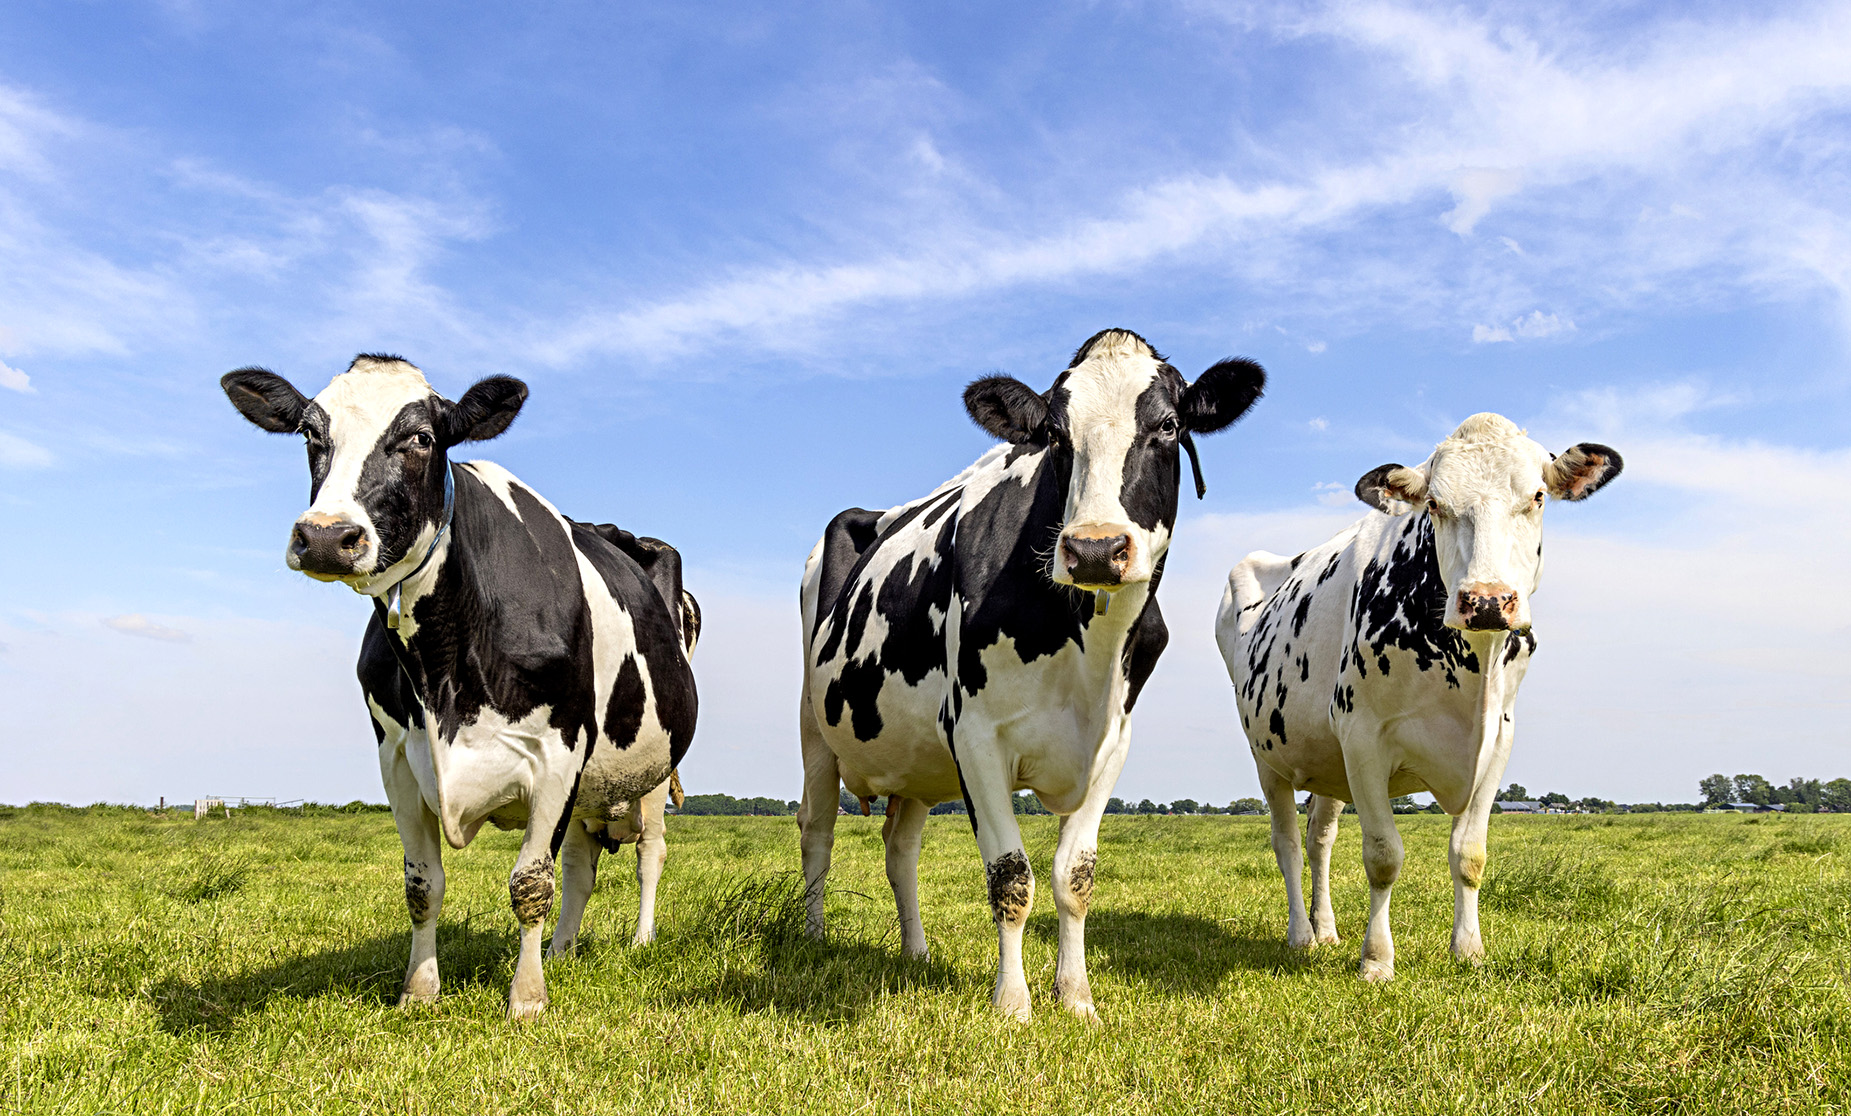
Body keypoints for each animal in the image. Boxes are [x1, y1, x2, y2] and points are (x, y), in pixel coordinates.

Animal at [221, 354, 699, 1018]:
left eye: (422, 438)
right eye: (310, 434)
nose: (324, 537)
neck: (444, 668)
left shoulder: (559, 752)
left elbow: (530, 884)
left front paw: (526, 1001)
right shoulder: (397, 758)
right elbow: (423, 884)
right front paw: (419, 991)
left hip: (651, 772)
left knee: (648, 855)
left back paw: (640, 940)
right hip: (591, 788)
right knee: (580, 866)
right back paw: (563, 951)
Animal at [798, 329, 1265, 1021]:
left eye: (1168, 425)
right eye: (1055, 435)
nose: (1095, 548)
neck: (1084, 646)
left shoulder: (1112, 741)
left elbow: (1075, 876)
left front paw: (1075, 998)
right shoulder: (974, 735)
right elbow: (1011, 875)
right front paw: (1013, 1005)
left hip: (915, 760)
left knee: (900, 848)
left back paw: (916, 952)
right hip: (814, 728)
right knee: (817, 831)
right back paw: (812, 939)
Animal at [1213, 413, 1621, 980]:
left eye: (1538, 496)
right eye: (1434, 504)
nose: (1487, 600)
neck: (1472, 674)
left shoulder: (1498, 740)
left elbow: (1470, 854)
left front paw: (1468, 950)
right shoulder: (1363, 736)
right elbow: (1384, 856)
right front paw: (1377, 960)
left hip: (1327, 761)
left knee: (1319, 840)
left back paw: (1326, 929)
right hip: (1268, 756)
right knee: (1288, 843)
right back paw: (1301, 935)